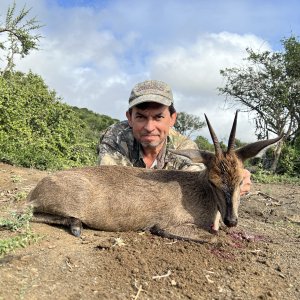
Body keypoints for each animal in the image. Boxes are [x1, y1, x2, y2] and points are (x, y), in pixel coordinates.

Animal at [27, 111, 282, 243]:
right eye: (213, 181)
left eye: (241, 181)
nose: (231, 220)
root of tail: (36, 189)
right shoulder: (170, 224)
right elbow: (212, 237)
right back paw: (76, 225)